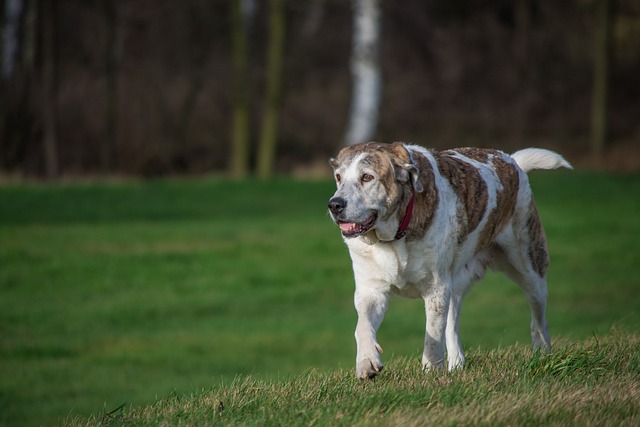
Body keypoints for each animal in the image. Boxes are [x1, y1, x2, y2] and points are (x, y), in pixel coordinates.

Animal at [328, 142, 572, 380]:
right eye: (339, 177)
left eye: (367, 177)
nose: (335, 204)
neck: (394, 236)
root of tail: (512, 161)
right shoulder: (371, 289)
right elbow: (363, 325)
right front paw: (367, 362)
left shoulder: (436, 288)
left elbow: (433, 334)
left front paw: (431, 371)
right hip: (457, 282)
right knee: (452, 322)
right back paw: (456, 363)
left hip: (530, 264)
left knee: (538, 318)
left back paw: (543, 354)